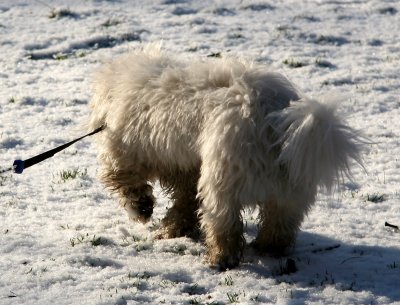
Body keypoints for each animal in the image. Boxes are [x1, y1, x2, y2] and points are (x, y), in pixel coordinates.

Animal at [89, 44, 364, 268]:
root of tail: (272, 118)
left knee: (225, 223)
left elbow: (126, 180)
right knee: (281, 222)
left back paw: (220, 258)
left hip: (223, 181)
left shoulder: (132, 152)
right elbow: (184, 201)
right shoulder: (186, 166)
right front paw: (174, 227)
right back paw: (267, 248)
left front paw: (143, 209)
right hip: (290, 187)